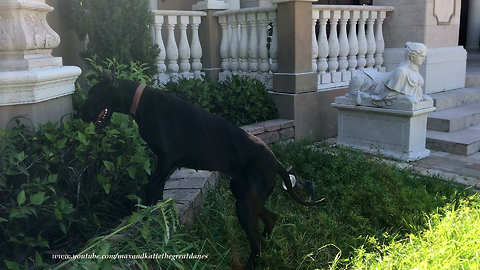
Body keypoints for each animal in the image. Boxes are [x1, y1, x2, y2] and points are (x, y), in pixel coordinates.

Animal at [77, 71, 322, 268]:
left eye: (93, 95)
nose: (78, 115)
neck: (139, 101)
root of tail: (276, 163)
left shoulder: (166, 159)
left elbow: (150, 187)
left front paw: (143, 216)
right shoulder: (165, 164)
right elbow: (158, 190)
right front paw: (156, 215)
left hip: (245, 204)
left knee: (258, 244)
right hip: (245, 195)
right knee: (270, 219)